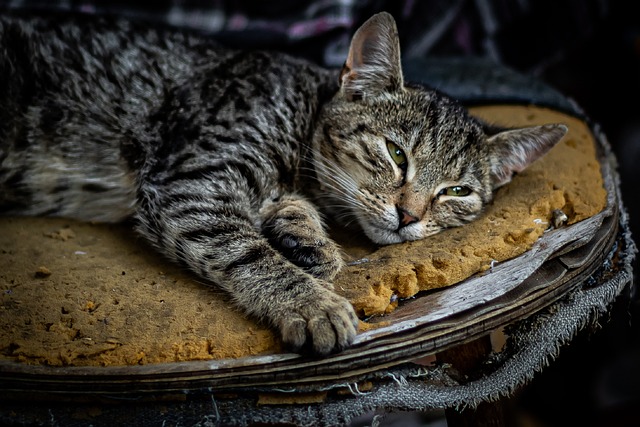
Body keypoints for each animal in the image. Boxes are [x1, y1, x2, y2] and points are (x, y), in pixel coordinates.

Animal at [0, 10, 568, 358]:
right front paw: (310, 302)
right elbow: (246, 251)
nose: (409, 215)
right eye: (396, 154)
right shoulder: (192, 181)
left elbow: (288, 213)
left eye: (456, 192)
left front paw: (305, 239)